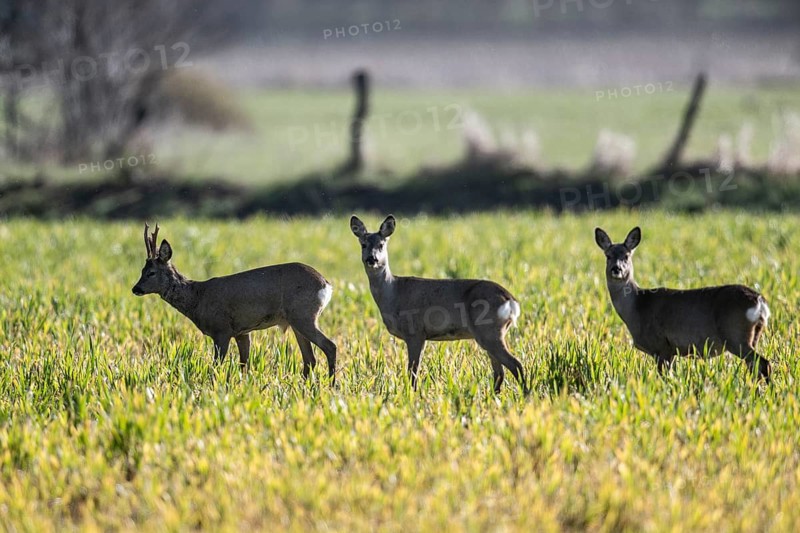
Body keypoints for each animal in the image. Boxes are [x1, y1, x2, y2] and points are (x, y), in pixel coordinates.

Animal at [131, 224, 337, 380]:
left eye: (151, 272)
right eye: (142, 270)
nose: (135, 288)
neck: (198, 298)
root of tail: (326, 284)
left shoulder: (221, 330)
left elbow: (216, 366)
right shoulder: (242, 331)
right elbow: (244, 364)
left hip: (303, 315)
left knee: (330, 346)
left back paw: (331, 384)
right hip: (296, 321)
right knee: (309, 359)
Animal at [350, 215, 527, 394]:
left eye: (381, 244)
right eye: (363, 244)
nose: (372, 259)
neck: (392, 293)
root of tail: (511, 300)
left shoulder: (415, 332)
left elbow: (412, 371)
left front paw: (412, 394)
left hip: (489, 331)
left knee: (516, 364)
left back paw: (525, 394)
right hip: (489, 334)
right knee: (499, 372)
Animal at [594, 226, 771, 382]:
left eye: (626, 256)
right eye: (608, 256)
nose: (616, 269)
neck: (637, 307)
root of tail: (759, 301)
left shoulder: (662, 346)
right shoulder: (671, 350)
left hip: (735, 335)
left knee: (763, 363)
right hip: (753, 335)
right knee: (755, 366)